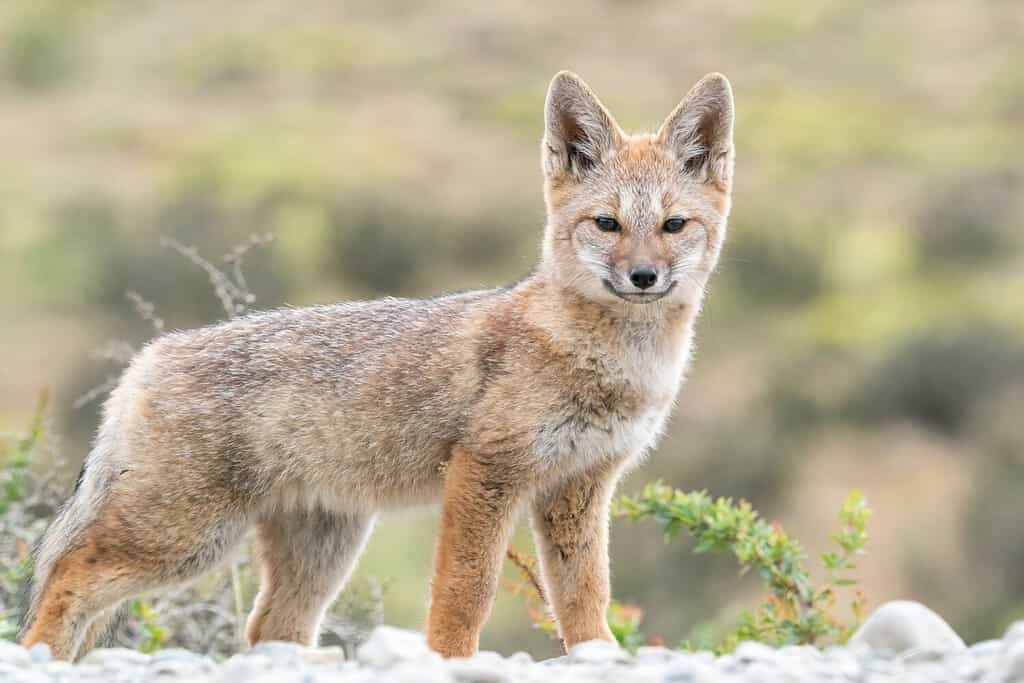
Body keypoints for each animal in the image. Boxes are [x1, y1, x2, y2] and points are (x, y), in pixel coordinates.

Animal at [19, 70, 733, 663]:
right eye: (607, 224)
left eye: (672, 225)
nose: (643, 277)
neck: (611, 363)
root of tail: (150, 353)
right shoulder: (485, 473)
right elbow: (465, 592)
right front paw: (450, 661)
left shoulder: (580, 486)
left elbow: (586, 596)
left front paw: (598, 656)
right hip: (186, 538)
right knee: (68, 576)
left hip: (320, 549)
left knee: (266, 629)